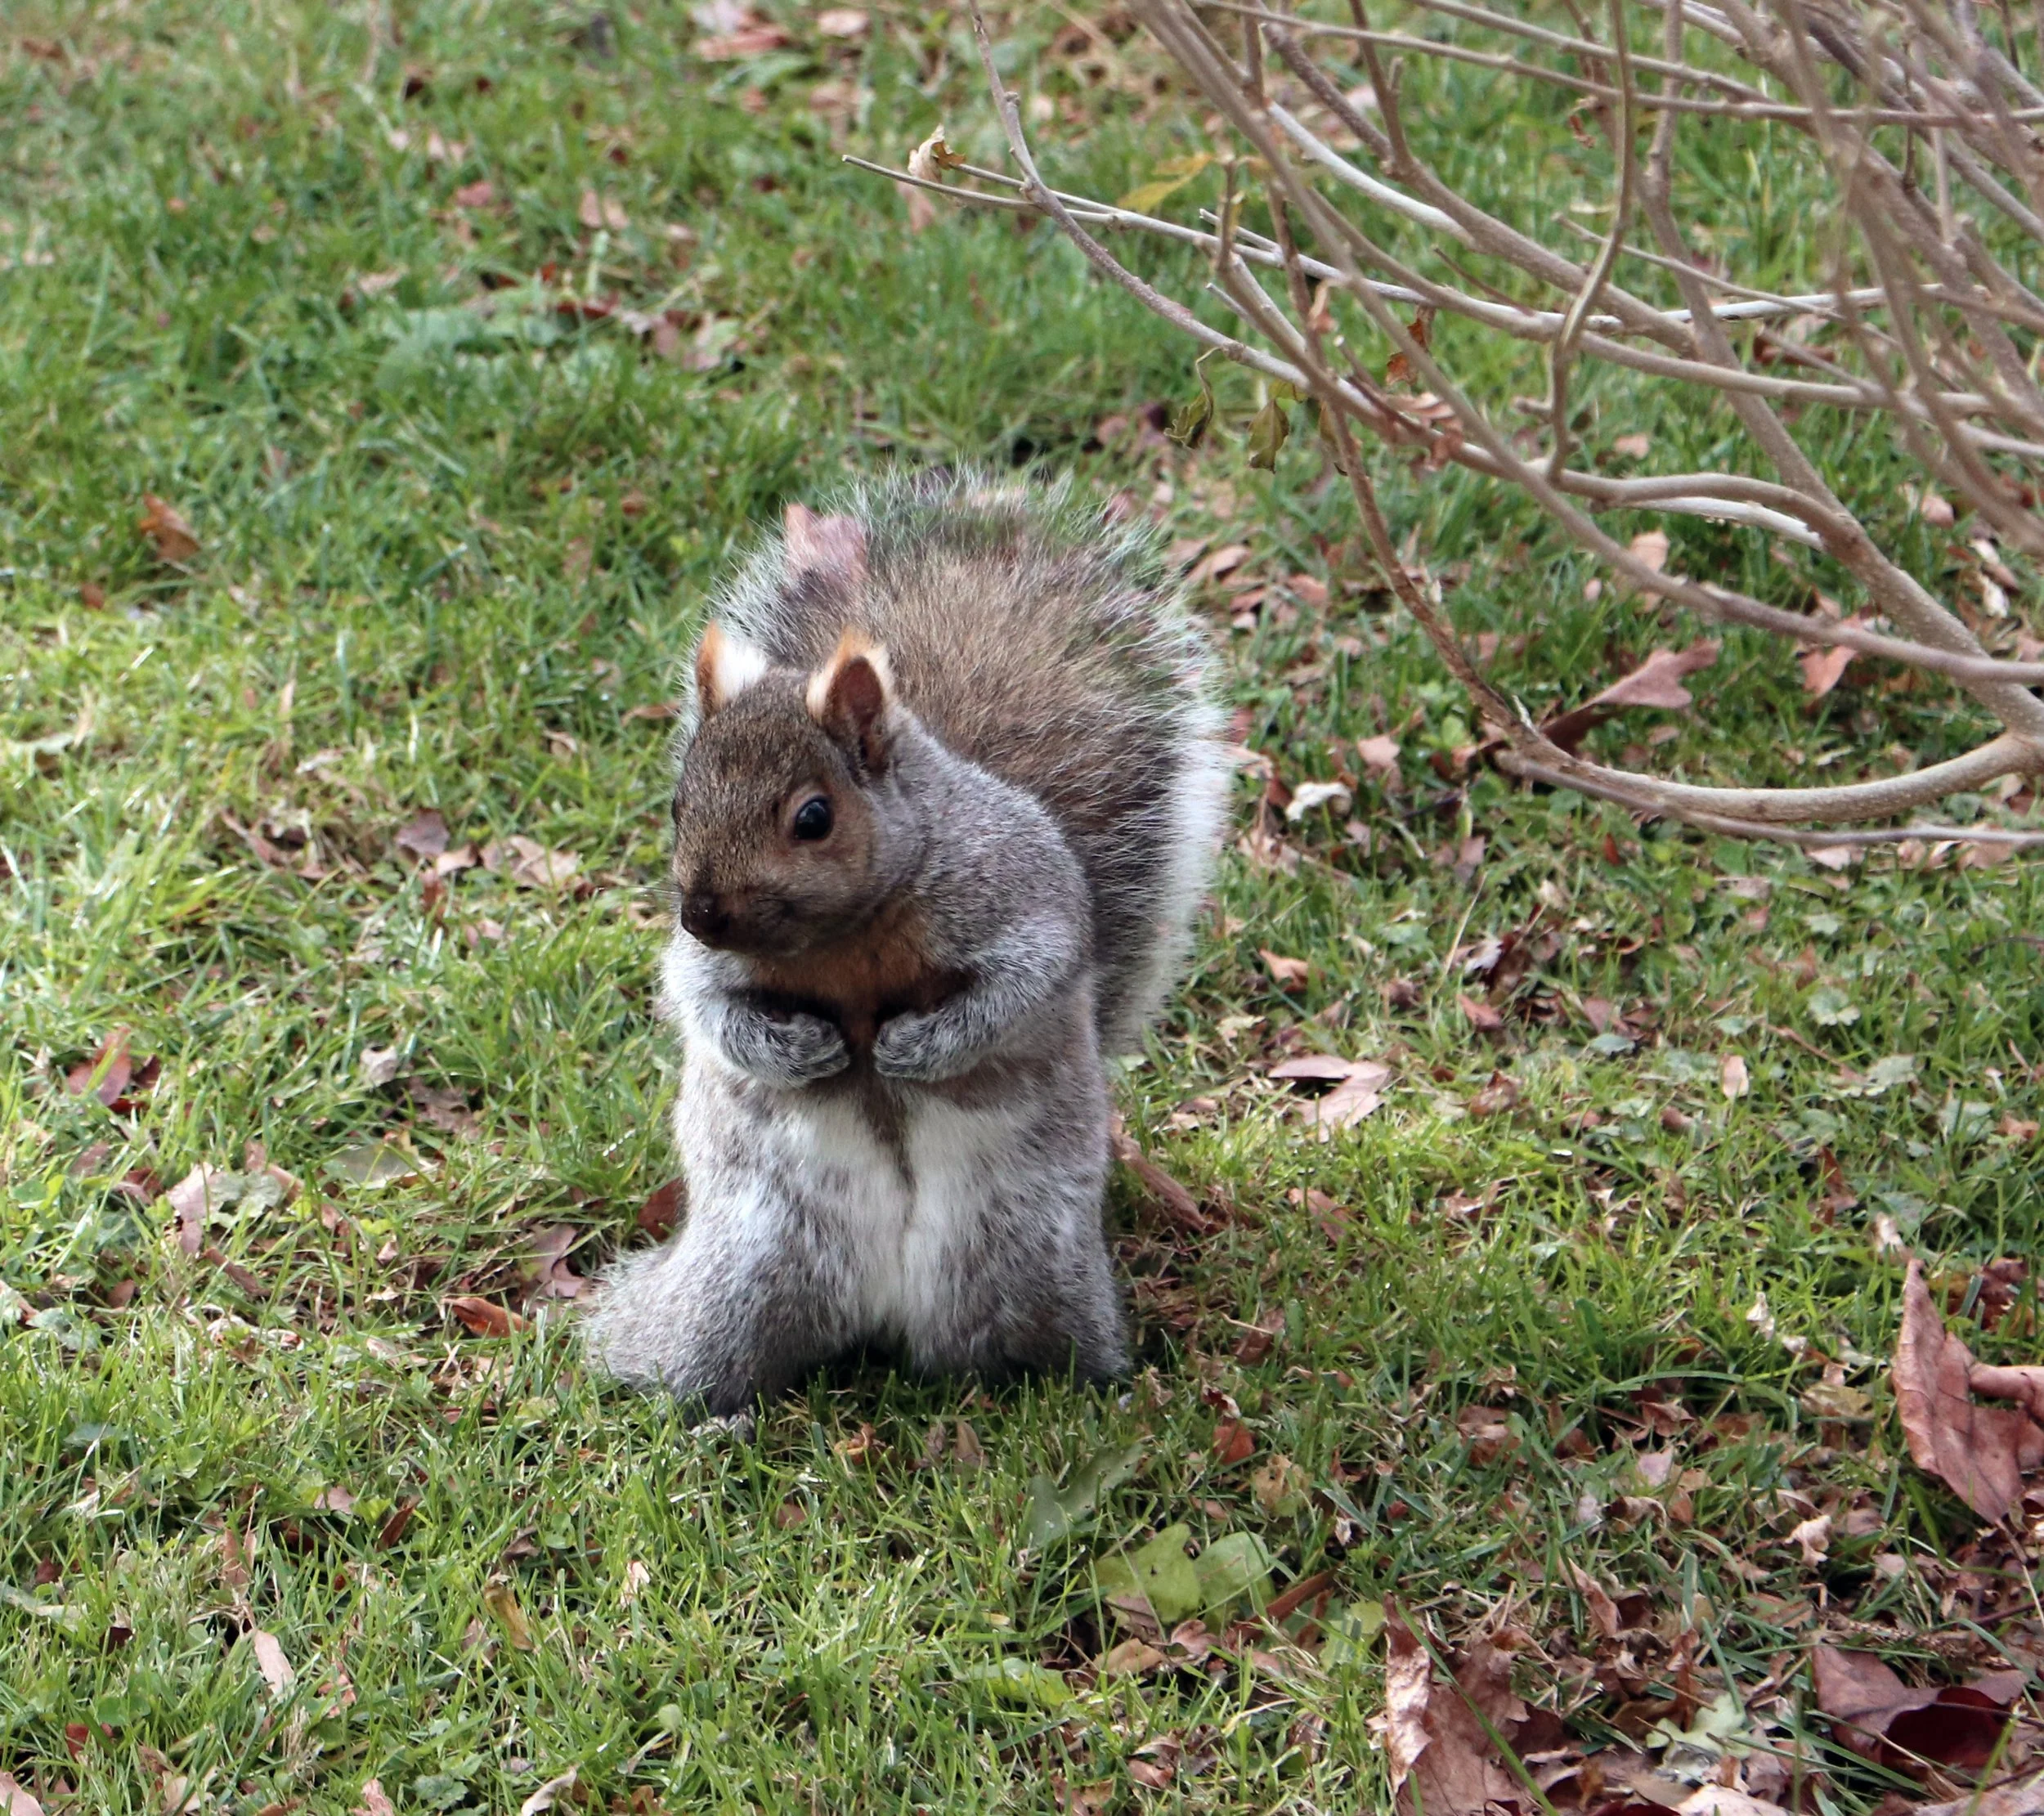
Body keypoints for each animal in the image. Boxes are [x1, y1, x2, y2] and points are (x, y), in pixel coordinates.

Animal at [584, 471, 1227, 1415]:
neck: (846, 933)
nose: (701, 912)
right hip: (747, 1273)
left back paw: (1099, 1388)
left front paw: (917, 1048)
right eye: (678, 804)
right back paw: (702, 1409)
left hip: (1024, 1255)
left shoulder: (1021, 896)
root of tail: (885, 1318)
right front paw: (799, 1049)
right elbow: (703, 1002)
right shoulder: (704, 964)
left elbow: (1024, 981)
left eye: (813, 816)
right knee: (714, 1360)